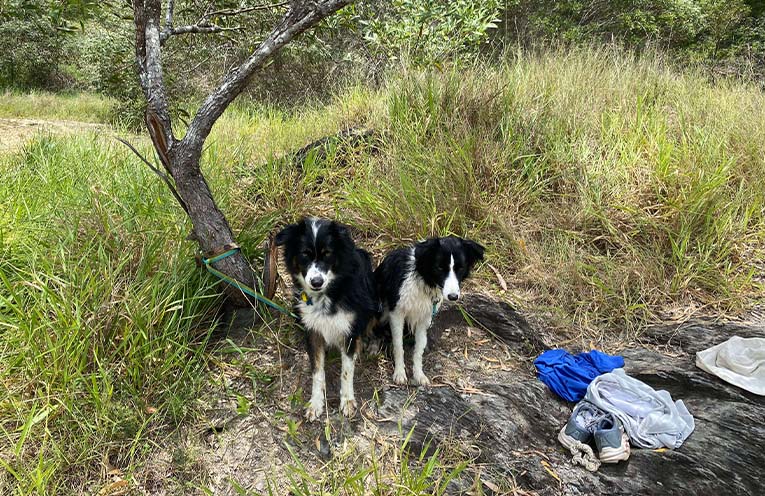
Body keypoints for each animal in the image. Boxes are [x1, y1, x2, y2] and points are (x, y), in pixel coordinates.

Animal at [278, 219, 380, 420]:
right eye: (304, 254)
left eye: (328, 254)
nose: (316, 282)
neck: (326, 296)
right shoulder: (313, 331)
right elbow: (317, 372)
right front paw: (315, 403)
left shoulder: (349, 330)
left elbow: (346, 371)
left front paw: (347, 401)